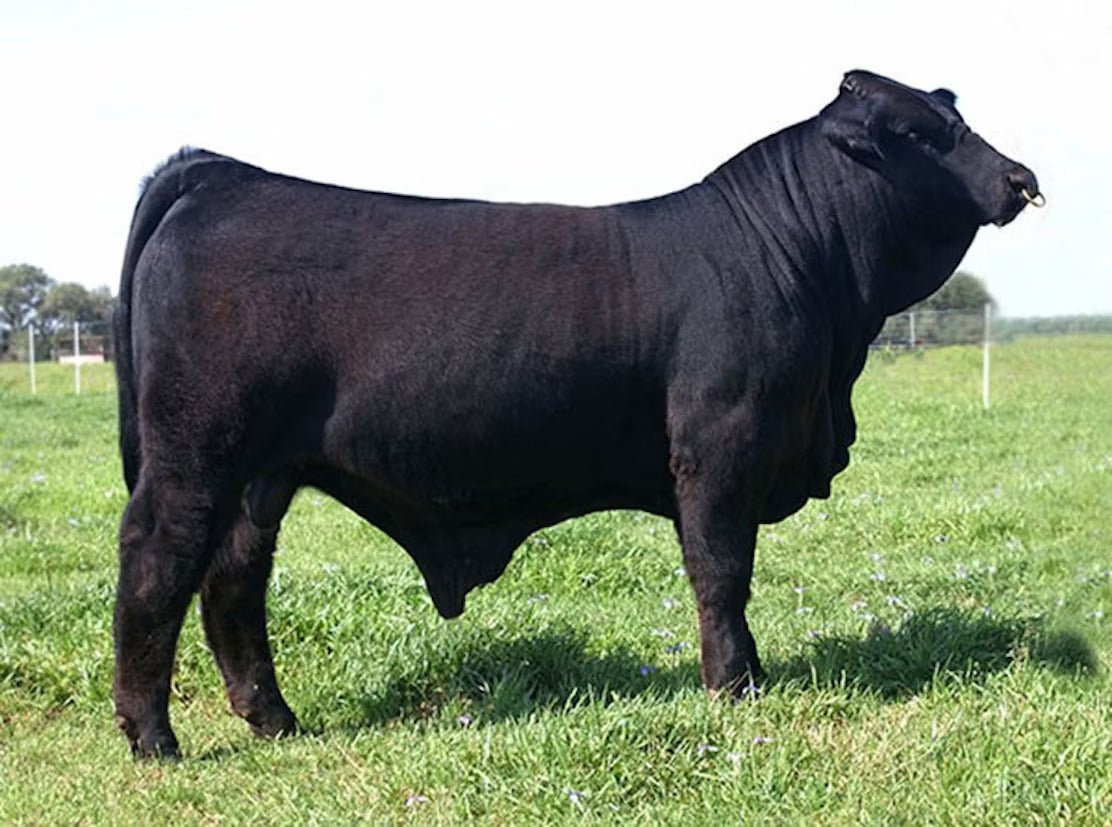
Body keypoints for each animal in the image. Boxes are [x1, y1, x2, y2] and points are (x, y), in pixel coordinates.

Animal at [113, 70, 1041, 758]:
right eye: (920, 133)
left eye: (955, 115)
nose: (1020, 179)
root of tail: (227, 174)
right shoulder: (720, 447)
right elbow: (721, 571)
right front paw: (737, 684)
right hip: (194, 453)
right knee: (158, 563)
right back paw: (153, 736)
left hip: (260, 473)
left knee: (233, 577)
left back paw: (274, 719)